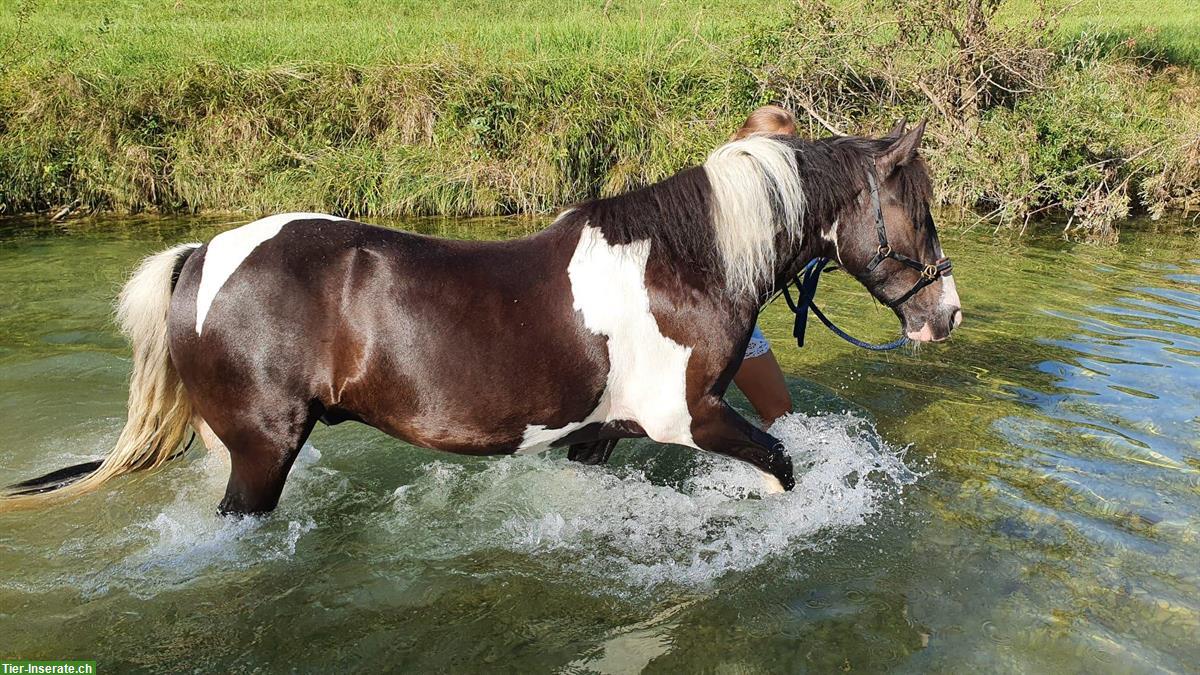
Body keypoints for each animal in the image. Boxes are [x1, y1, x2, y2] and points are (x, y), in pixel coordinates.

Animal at [0, 115, 955, 514]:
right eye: (918, 210)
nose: (945, 311)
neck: (683, 263)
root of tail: (203, 256)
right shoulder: (691, 416)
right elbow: (781, 464)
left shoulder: (601, 431)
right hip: (263, 453)